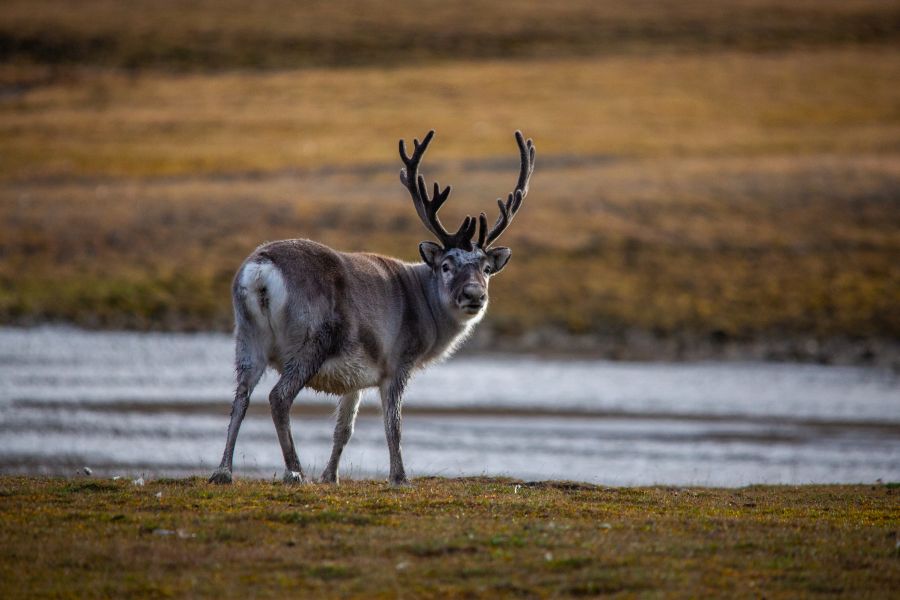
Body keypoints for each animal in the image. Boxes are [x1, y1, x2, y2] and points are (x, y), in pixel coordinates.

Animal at [209, 129, 535, 486]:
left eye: (486, 269)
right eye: (447, 265)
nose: (474, 295)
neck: (425, 306)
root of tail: (261, 270)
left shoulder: (357, 377)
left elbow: (344, 429)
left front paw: (331, 476)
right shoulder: (398, 362)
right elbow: (394, 425)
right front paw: (400, 477)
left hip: (247, 338)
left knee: (240, 398)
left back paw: (223, 471)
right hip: (311, 341)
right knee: (278, 397)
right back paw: (295, 472)